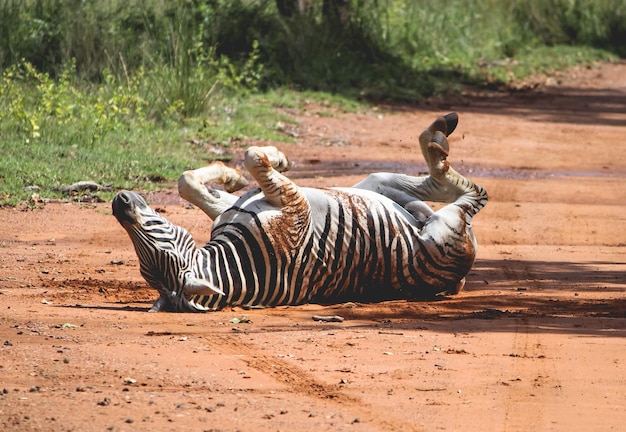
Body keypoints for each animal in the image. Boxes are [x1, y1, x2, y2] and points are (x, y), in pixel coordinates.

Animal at [111, 113, 488, 312]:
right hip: (444, 228)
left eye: (158, 230)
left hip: (377, 184)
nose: (119, 202)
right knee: (469, 192)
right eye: (153, 243)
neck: (236, 259)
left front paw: (238, 172)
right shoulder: (295, 206)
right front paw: (269, 158)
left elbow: (189, 181)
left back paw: (438, 134)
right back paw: (439, 135)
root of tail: (457, 279)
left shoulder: (239, 207)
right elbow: (251, 156)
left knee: (430, 186)